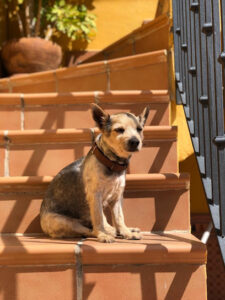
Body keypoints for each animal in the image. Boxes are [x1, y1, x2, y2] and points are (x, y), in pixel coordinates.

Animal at [40, 104, 149, 243]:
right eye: (119, 130)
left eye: (139, 129)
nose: (135, 141)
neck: (112, 163)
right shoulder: (95, 195)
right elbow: (99, 218)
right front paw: (103, 234)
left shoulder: (117, 197)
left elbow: (119, 217)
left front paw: (126, 232)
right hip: (62, 221)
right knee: (88, 230)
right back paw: (106, 232)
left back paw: (125, 230)